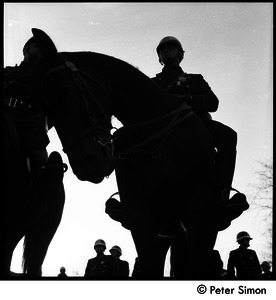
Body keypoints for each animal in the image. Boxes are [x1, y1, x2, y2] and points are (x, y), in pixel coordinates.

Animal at [30, 28, 246, 278]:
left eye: (64, 92)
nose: (87, 164)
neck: (157, 141)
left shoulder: (199, 213)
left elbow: (211, 99)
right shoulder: (141, 217)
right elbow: (149, 266)